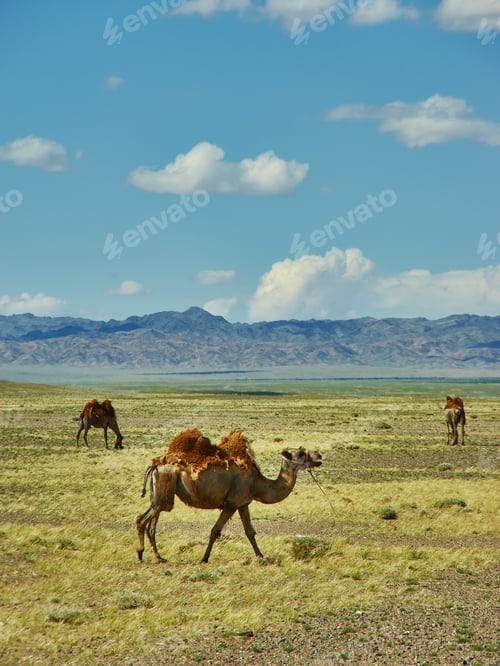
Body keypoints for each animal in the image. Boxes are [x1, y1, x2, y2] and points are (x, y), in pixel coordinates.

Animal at [136, 428, 322, 563]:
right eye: (300, 453)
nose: (319, 456)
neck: (257, 483)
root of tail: (155, 464)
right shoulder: (232, 503)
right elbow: (215, 530)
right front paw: (204, 559)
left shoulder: (243, 503)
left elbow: (249, 531)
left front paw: (260, 556)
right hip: (164, 492)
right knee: (143, 520)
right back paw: (141, 554)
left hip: (159, 495)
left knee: (150, 522)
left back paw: (158, 556)